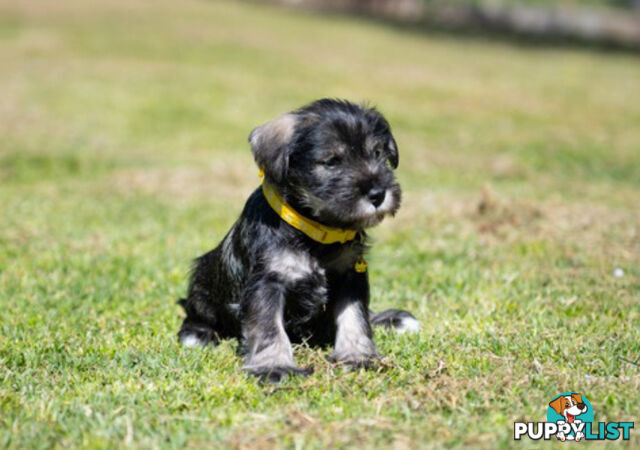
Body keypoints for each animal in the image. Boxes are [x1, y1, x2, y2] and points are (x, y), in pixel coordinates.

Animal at [179, 99, 420, 384]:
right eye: (331, 161)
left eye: (378, 153)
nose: (377, 194)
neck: (316, 231)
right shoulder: (268, 282)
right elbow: (269, 327)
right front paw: (274, 366)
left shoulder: (351, 276)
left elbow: (356, 317)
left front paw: (358, 356)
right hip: (202, 280)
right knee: (196, 311)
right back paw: (197, 334)